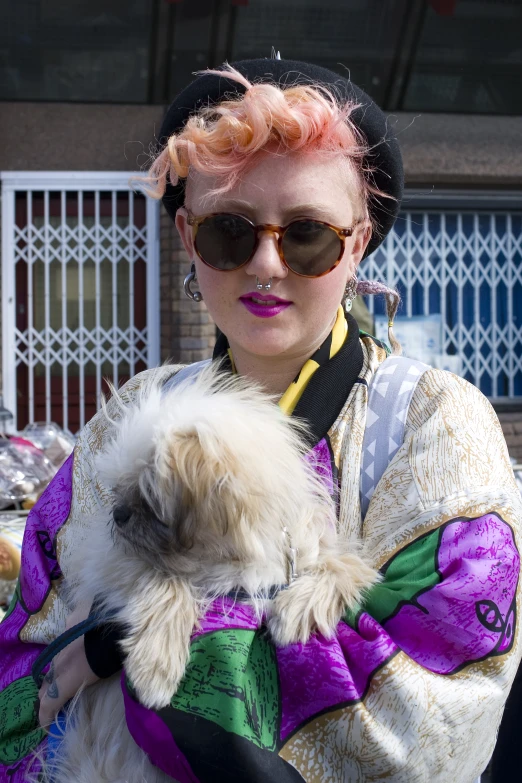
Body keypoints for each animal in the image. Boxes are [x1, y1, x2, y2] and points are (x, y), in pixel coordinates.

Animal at [39, 364, 374, 780]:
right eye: (119, 490)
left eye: (149, 496)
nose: (119, 514)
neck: (225, 558)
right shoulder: (117, 560)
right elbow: (166, 582)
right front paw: (156, 665)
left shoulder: (315, 549)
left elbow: (344, 566)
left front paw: (298, 608)